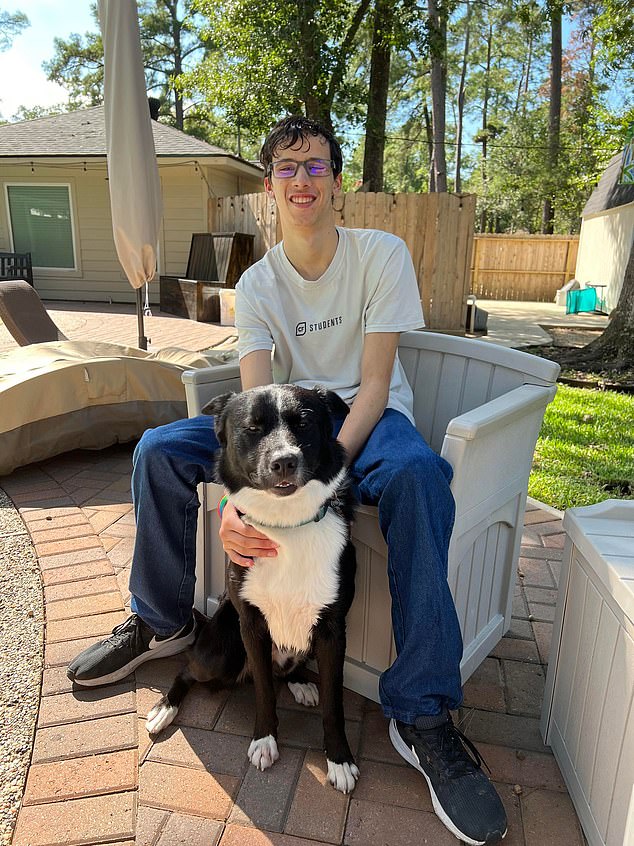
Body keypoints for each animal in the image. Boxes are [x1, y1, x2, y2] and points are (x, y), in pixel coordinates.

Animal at [145, 384, 358, 796]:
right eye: (253, 428)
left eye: (304, 423)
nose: (284, 462)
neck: (287, 526)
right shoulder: (251, 626)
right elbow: (262, 690)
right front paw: (264, 741)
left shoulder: (332, 631)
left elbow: (334, 703)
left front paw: (339, 759)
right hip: (220, 651)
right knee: (188, 671)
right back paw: (165, 708)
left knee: (289, 671)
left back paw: (301, 683)